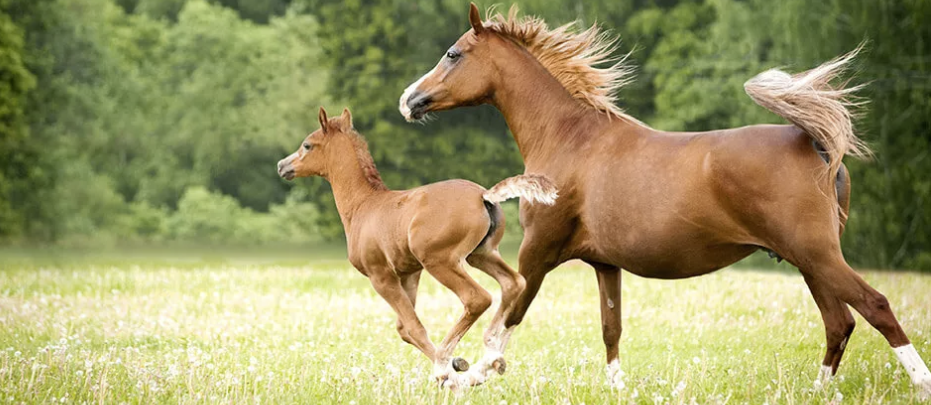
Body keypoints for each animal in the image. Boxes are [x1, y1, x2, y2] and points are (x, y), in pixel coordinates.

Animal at [277, 107, 557, 389]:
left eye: (307, 145)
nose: (282, 166)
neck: (363, 206)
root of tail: (484, 196)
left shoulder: (381, 276)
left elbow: (412, 327)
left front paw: (450, 372)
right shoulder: (409, 273)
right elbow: (404, 329)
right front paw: (459, 365)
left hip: (440, 261)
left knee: (477, 298)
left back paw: (451, 361)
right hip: (481, 254)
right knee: (514, 283)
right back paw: (492, 357)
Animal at [398, 3, 931, 395]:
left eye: (453, 54)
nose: (408, 100)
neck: (572, 140)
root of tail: (817, 144)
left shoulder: (539, 250)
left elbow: (508, 315)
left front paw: (466, 372)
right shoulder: (604, 264)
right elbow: (610, 328)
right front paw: (617, 388)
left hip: (817, 255)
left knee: (875, 306)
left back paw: (919, 381)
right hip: (809, 261)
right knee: (839, 322)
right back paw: (819, 391)